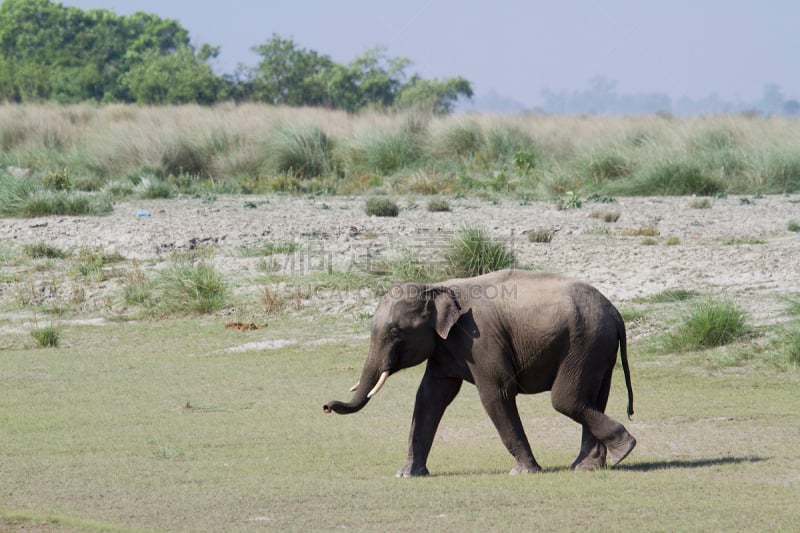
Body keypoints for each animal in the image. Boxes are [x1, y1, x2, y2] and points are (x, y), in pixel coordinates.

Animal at [322, 268, 636, 476]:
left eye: (396, 333)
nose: (325, 406)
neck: (436, 287)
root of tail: (616, 313)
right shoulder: (445, 348)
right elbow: (429, 398)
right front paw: (407, 474)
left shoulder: (480, 339)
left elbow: (496, 393)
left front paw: (524, 472)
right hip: (597, 348)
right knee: (592, 398)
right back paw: (591, 465)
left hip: (584, 343)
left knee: (566, 400)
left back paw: (625, 448)